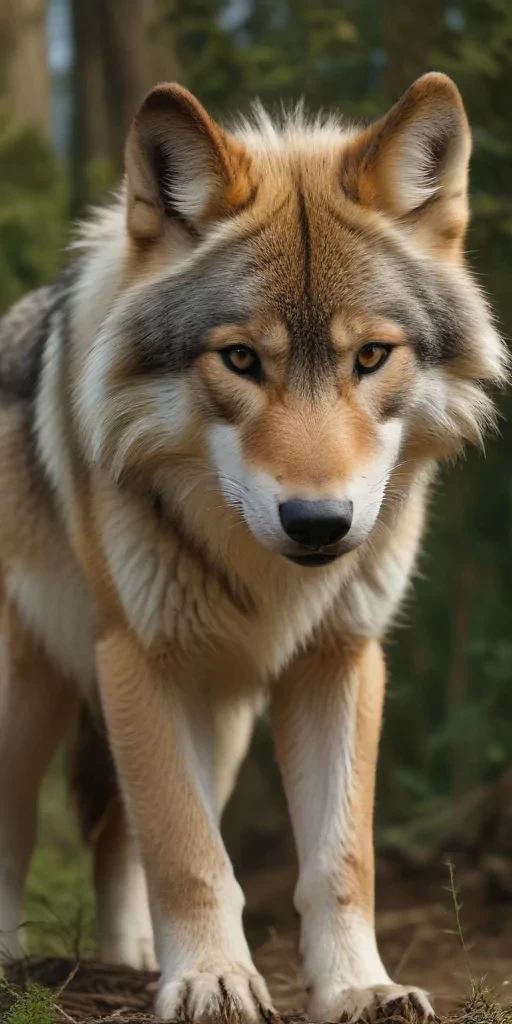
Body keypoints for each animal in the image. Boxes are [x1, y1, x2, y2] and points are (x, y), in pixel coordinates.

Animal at [0, 73, 506, 1022]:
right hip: (27, 698)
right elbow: (189, 850)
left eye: (370, 356)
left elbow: (339, 860)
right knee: (22, 832)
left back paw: (129, 958)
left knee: (117, 840)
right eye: (239, 359)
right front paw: (211, 979)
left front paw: (360, 986)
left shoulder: (341, 659)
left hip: (222, 724)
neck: (271, 578)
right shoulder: (140, 658)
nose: (318, 522)